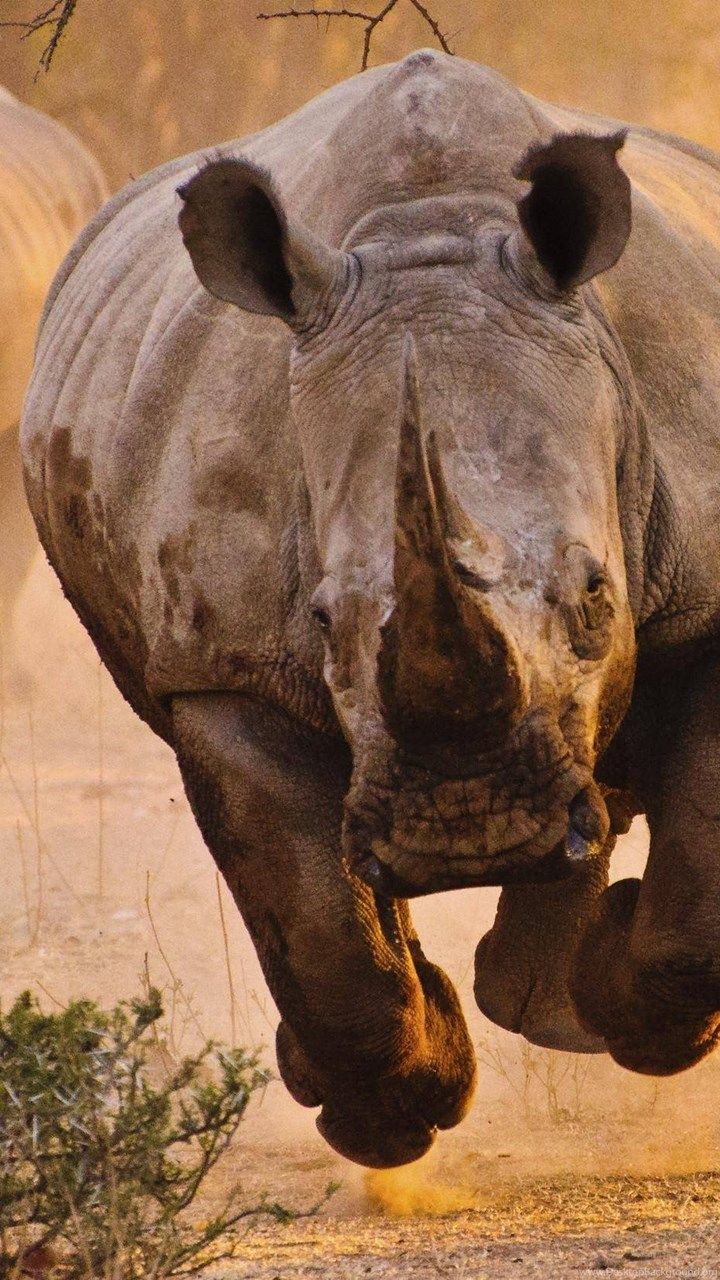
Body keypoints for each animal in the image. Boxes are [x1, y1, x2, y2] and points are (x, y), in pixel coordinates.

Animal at [21, 50, 720, 1167]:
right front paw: (391, 1116)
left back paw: (551, 997)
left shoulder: (703, 594)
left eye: (596, 597)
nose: (468, 828)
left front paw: (624, 994)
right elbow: (318, 932)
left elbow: (696, 905)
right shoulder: (223, 670)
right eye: (320, 620)